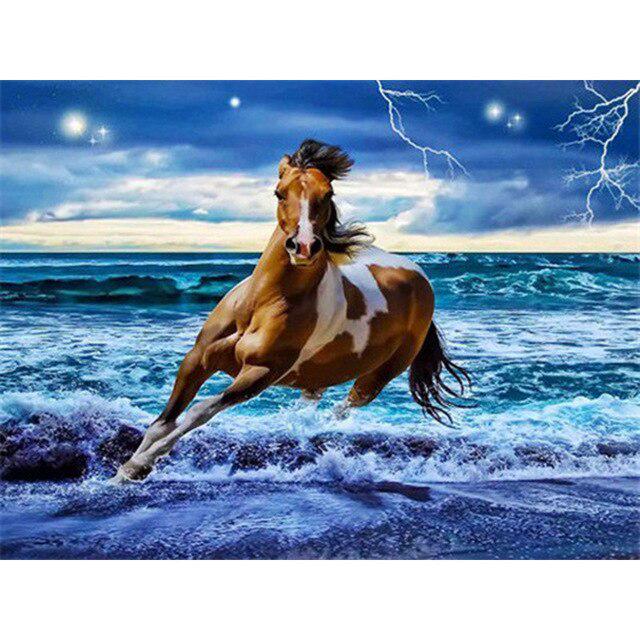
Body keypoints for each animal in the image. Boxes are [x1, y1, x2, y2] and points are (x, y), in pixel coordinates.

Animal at [114, 139, 471, 482]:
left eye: (327, 194)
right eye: (279, 192)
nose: (303, 246)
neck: (260, 305)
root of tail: (420, 278)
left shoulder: (260, 373)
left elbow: (199, 411)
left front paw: (137, 467)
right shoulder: (197, 358)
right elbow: (163, 422)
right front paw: (121, 471)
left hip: (378, 375)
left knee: (343, 407)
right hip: (322, 372)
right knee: (313, 398)